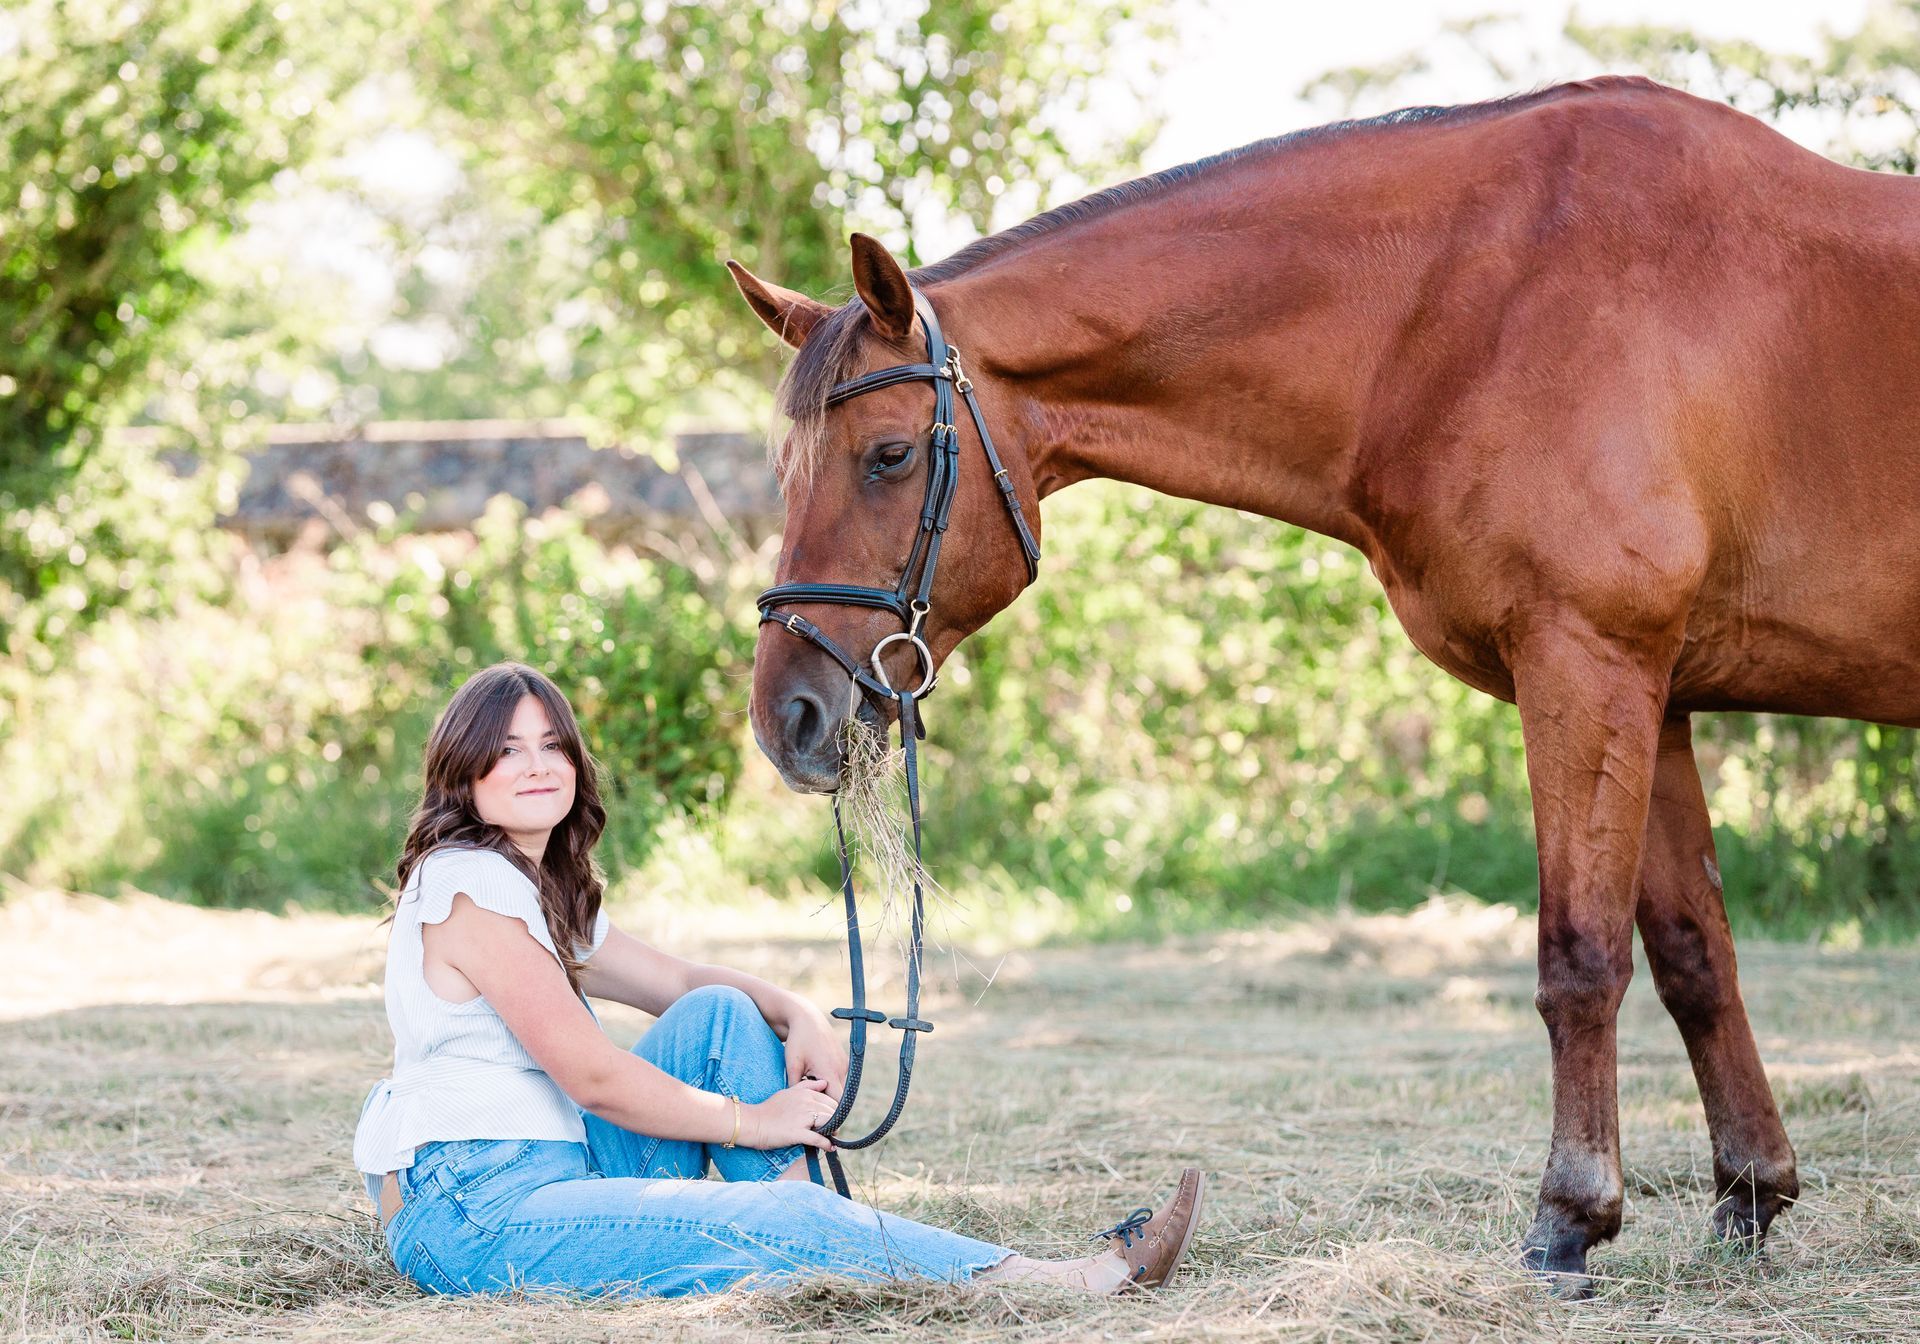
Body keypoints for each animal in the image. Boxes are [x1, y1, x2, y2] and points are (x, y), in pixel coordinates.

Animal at [727, 75, 1920, 1295]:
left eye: (887, 456)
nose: (789, 719)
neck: (1482, 301)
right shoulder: (1658, 694)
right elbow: (1694, 958)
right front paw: (1749, 1197)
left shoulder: (1589, 665)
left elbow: (1581, 957)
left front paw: (1570, 1219)